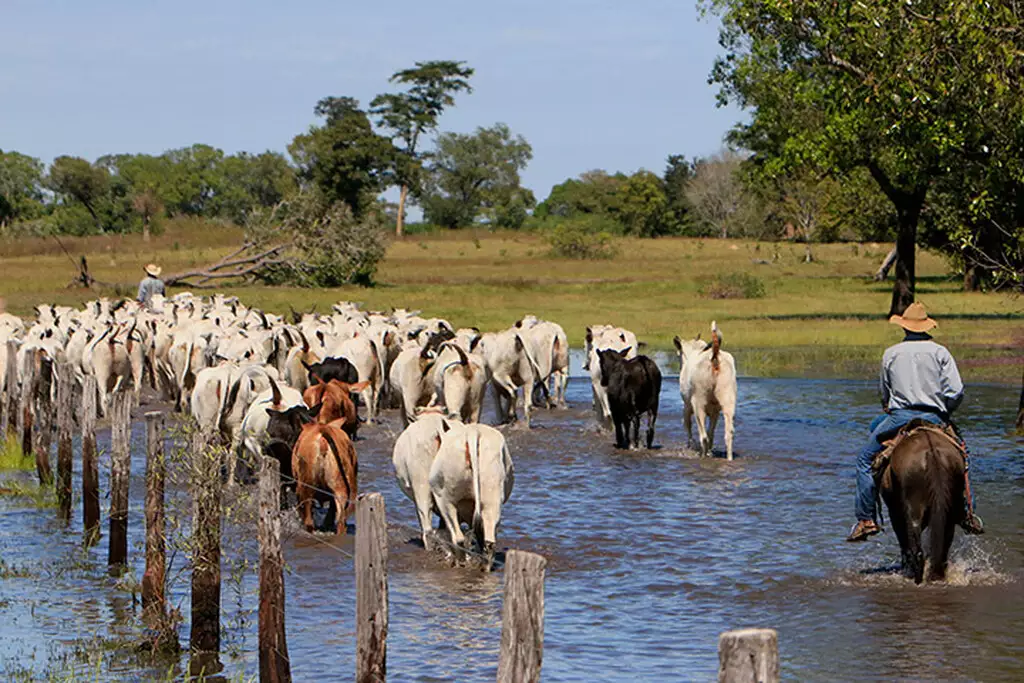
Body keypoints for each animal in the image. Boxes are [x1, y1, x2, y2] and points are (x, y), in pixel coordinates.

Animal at [428, 423, 516, 569]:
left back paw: (460, 563)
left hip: (445, 500)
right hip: (492, 497)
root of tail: (473, 432)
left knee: (458, 537)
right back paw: (484, 566)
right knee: (489, 541)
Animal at [671, 323, 737, 462]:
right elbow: (712, 433)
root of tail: (715, 357)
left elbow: (688, 426)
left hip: (698, 404)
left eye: (678, 354)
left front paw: (690, 446)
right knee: (728, 434)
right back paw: (728, 458)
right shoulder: (715, 411)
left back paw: (702, 455)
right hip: (728, 400)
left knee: (704, 437)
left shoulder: (687, 406)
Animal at [880, 423, 966, 585]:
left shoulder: (894, 514)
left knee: (916, 550)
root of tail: (932, 453)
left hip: (912, 509)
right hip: (949, 510)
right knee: (943, 547)